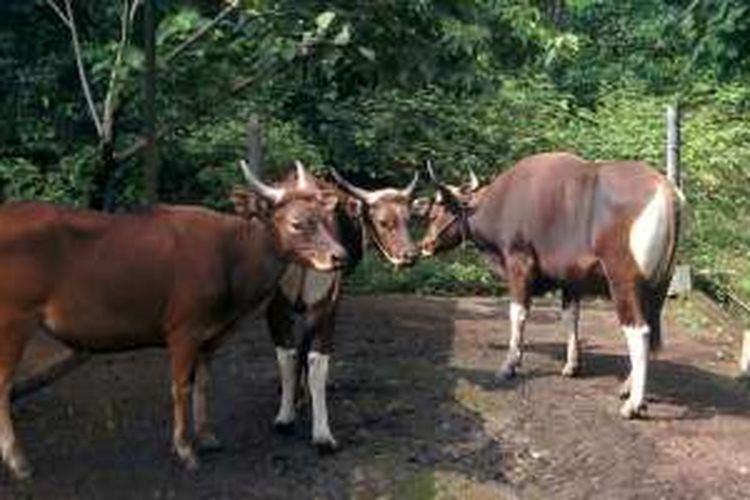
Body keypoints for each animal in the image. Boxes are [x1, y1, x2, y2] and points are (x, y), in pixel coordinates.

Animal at [0, 161, 346, 480]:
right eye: (297, 222)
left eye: (325, 217)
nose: (339, 256)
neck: (231, 262)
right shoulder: (183, 330)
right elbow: (180, 387)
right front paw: (184, 449)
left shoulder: (210, 335)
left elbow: (204, 383)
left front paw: (207, 437)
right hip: (13, 320)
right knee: (3, 385)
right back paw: (18, 462)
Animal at [232, 169, 420, 454]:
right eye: (383, 221)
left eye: (408, 219)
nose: (410, 255)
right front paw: (301, 395)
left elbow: (297, 351)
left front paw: (296, 396)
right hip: (323, 304)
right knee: (314, 358)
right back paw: (320, 432)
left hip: (283, 305)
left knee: (291, 353)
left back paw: (290, 419)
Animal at [420, 151, 684, 418]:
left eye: (433, 214)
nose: (424, 245)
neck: (501, 203)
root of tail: (665, 190)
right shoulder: (571, 280)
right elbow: (570, 317)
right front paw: (572, 365)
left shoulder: (519, 265)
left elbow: (517, 314)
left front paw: (510, 365)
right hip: (658, 288)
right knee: (650, 330)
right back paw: (628, 387)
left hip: (623, 282)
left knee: (638, 331)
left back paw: (634, 404)